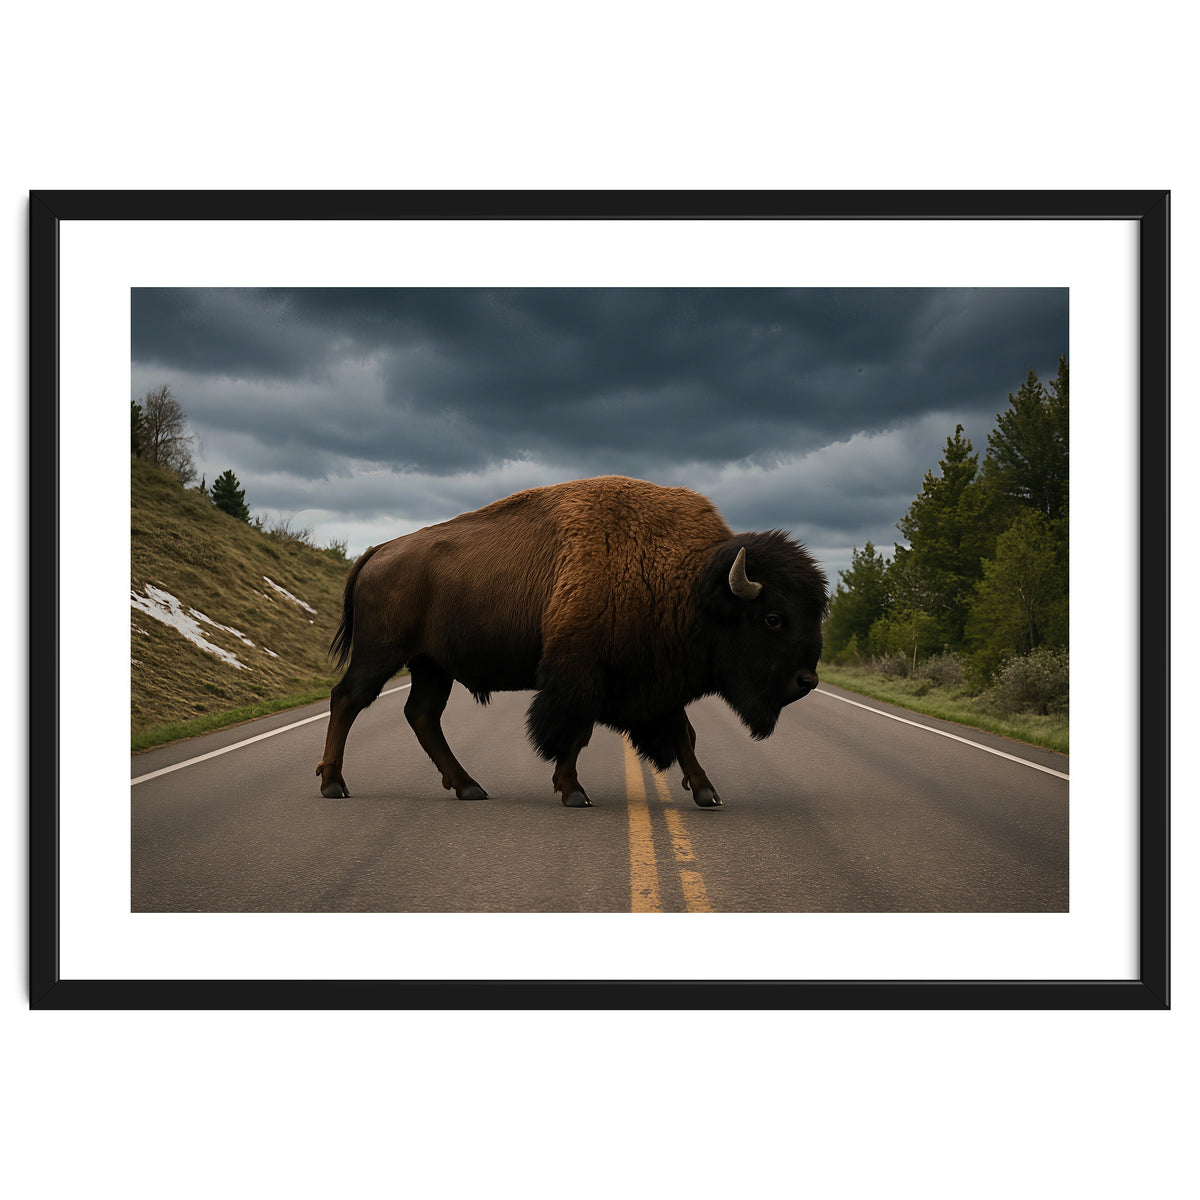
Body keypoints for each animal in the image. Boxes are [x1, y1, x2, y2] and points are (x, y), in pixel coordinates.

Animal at [316, 476, 828, 807]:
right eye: (774, 618)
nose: (807, 680)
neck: (689, 582)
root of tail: (378, 550)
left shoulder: (654, 682)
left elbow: (682, 732)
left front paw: (707, 792)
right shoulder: (581, 675)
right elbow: (574, 732)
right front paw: (573, 791)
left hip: (431, 666)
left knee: (421, 715)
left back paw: (468, 787)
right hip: (383, 653)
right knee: (347, 698)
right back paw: (333, 785)